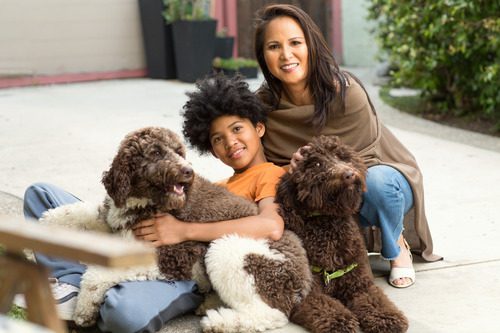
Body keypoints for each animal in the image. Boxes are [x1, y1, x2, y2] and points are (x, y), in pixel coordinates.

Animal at [99, 126, 310, 330]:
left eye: (179, 152)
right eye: (155, 152)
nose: (188, 171)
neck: (143, 202)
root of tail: (304, 280)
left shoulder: (173, 257)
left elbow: (106, 272)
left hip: (228, 249)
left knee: (271, 314)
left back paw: (219, 321)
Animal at [276, 135, 408, 332]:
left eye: (341, 156)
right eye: (316, 164)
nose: (349, 174)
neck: (328, 226)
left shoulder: (361, 285)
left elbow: (375, 301)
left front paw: (386, 318)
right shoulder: (306, 295)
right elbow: (327, 307)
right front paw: (341, 322)